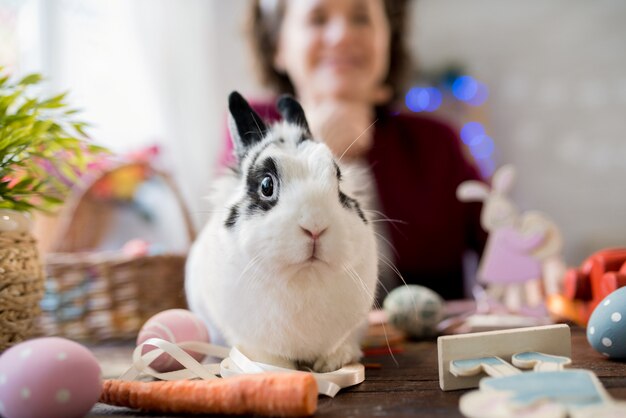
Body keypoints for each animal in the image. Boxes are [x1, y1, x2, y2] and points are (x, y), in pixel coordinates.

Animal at [183, 92, 378, 372]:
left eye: (338, 179)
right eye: (266, 185)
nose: (316, 226)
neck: (303, 277)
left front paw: (332, 363)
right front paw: (277, 369)